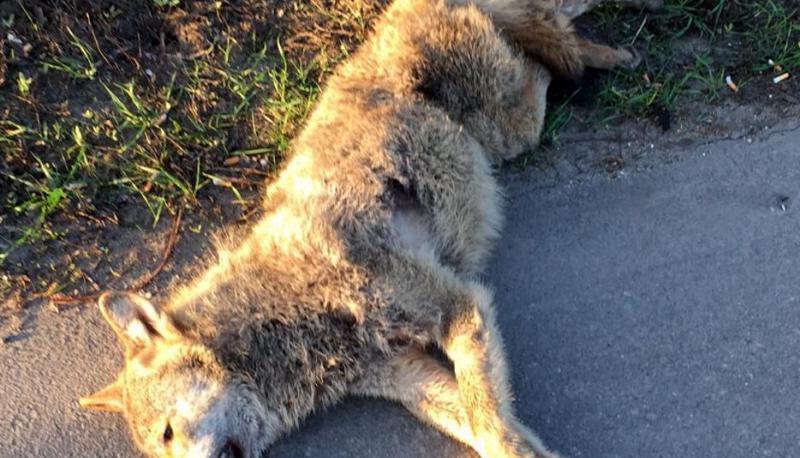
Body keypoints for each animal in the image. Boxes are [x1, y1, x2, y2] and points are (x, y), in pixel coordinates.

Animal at [80, 0, 660, 457]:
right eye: (159, 448)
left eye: (168, 432)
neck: (286, 312)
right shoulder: (413, 379)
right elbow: (487, 424)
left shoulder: (462, 309)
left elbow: (492, 424)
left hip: (514, 126)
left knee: (547, 58)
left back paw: (610, 55)